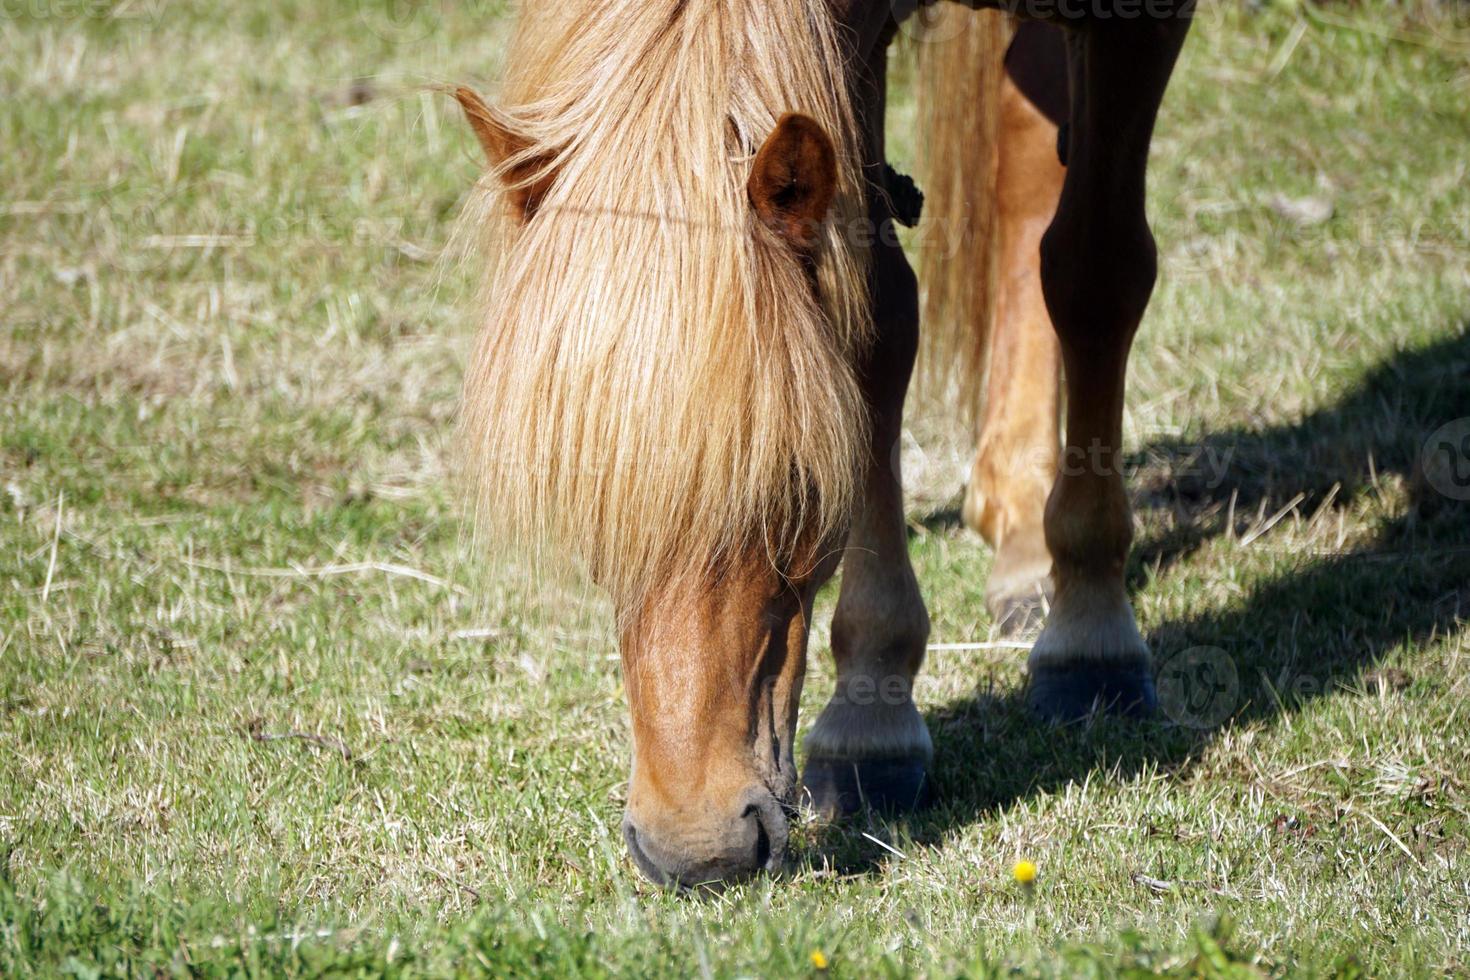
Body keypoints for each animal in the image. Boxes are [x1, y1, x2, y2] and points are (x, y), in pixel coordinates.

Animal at [455, 0, 1193, 887]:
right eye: (591, 510)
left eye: (791, 494)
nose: (692, 850)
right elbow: (877, 320)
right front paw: (873, 714)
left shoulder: (1139, 23)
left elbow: (1095, 273)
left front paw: (1092, 638)